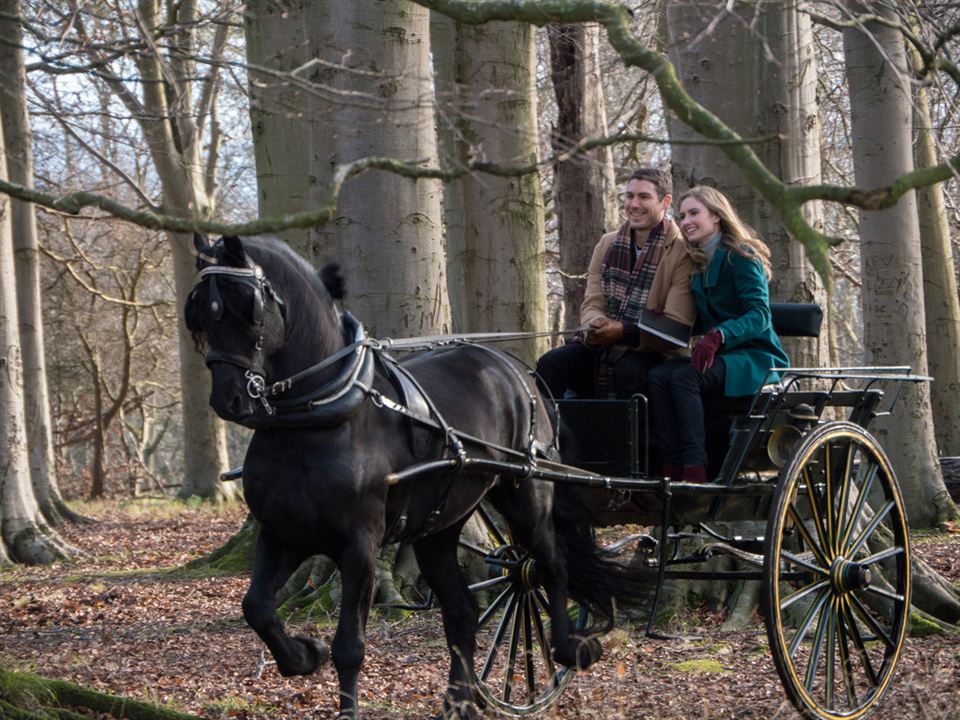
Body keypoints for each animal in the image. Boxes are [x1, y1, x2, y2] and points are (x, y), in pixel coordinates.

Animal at [185, 233, 640, 716]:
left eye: (244, 306)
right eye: (199, 312)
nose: (228, 400)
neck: (318, 416)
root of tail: (517, 370)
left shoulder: (359, 545)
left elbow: (349, 646)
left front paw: (342, 698)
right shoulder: (282, 532)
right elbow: (256, 607)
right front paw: (305, 655)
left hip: (525, 493)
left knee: (549, 563)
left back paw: (569, 649)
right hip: (438, 528)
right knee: (461, 610)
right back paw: (459, 700)